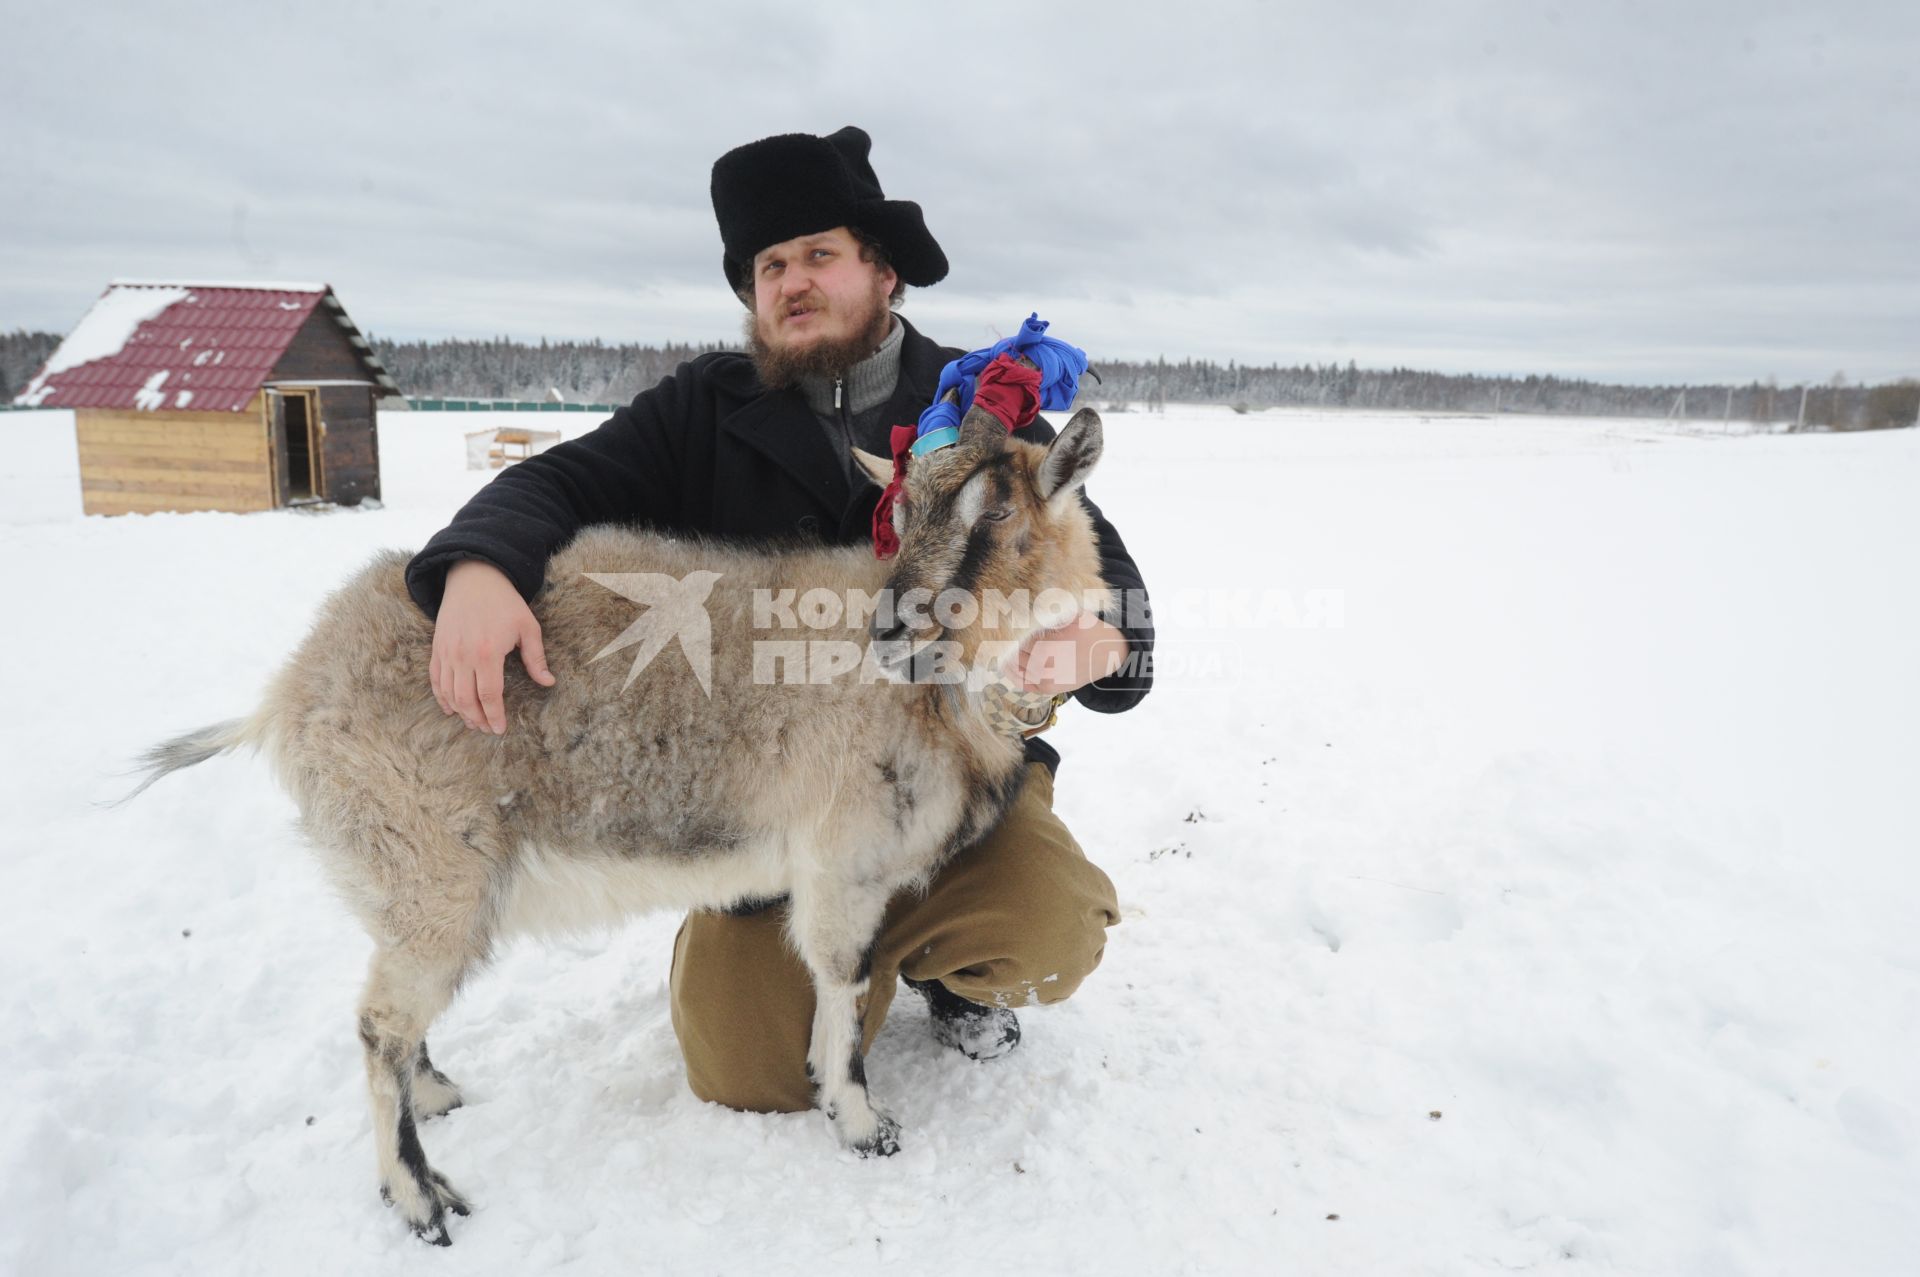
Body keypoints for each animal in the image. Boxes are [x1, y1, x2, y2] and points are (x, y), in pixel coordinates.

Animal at [131, 403, 1113, 1236]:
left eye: (998, 516)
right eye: (902, 513)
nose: (892, 632)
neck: (943, 699)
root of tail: (288, 694)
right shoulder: (841, 860)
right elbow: (844, 977)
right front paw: (862, 1120)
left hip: (409, 883)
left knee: (391, 1020)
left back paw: (437, 1093)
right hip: (431, 868)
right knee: (378, 1026)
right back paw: (420, 1197)